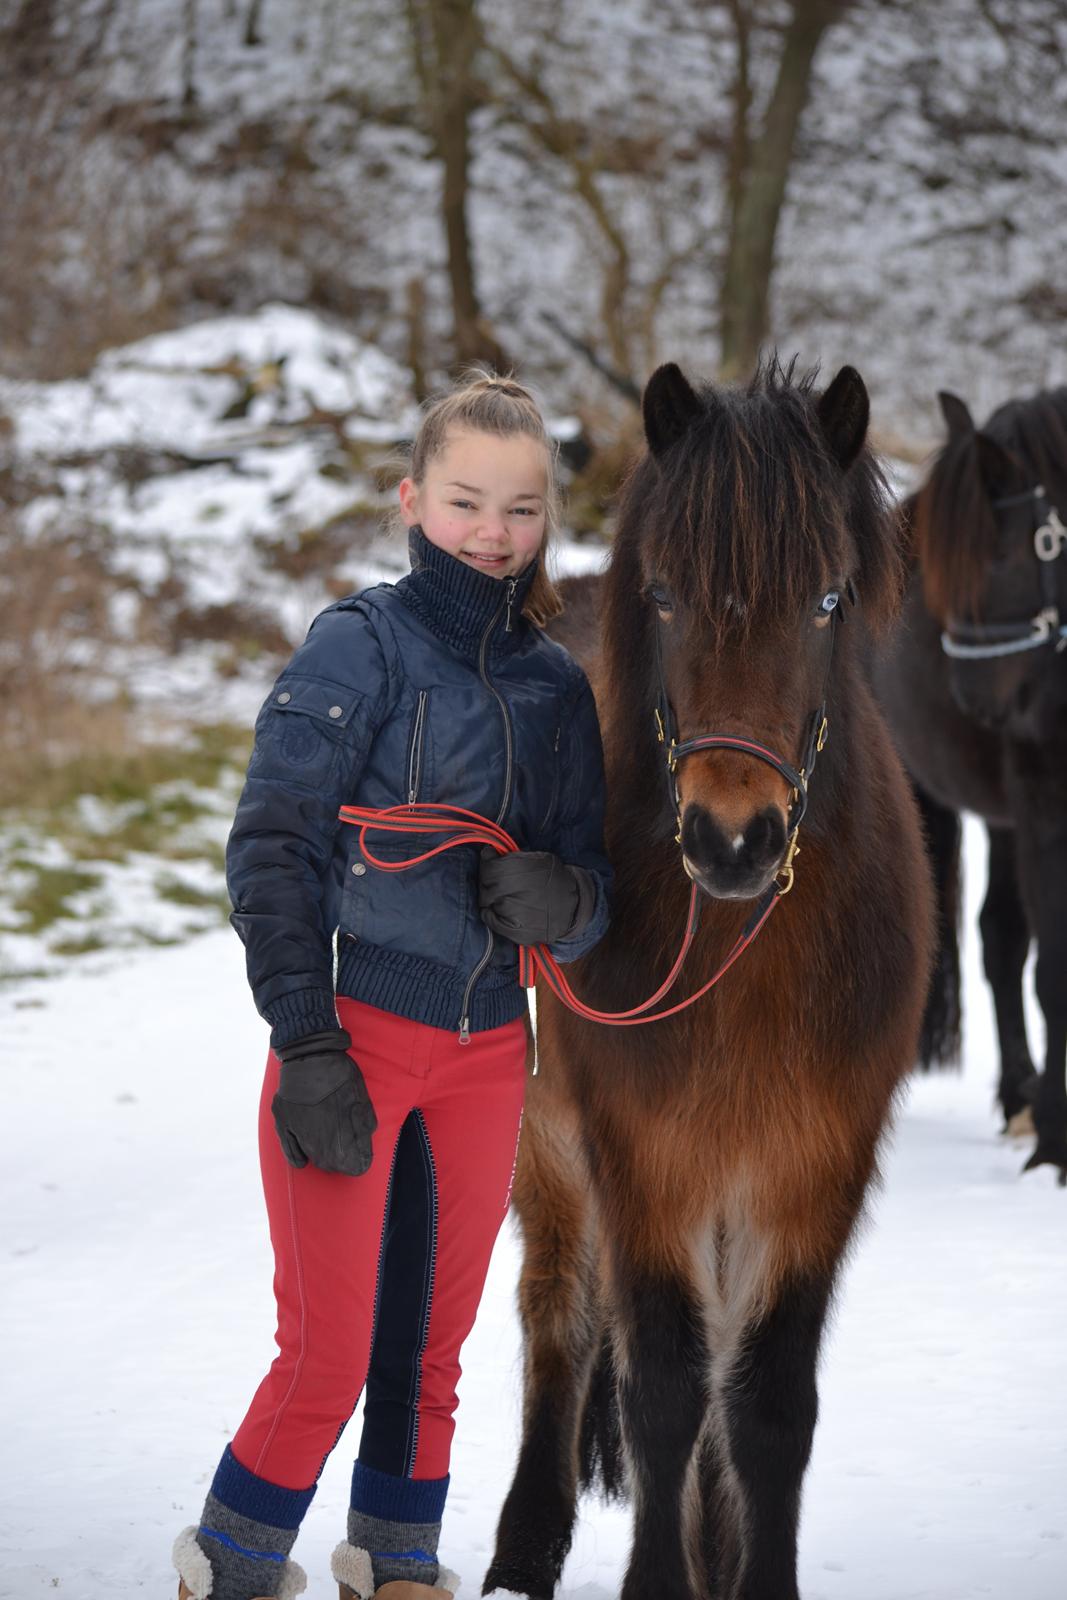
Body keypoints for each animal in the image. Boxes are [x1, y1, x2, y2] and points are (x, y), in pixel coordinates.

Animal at [483, 360, 934, 1600]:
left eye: (827, 600)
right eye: (668, 596)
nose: (732, 838)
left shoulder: (810, 1169)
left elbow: (765, 1402)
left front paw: (748, 1573)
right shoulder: (644, 1162)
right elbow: (663, 1391)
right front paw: (658, 1580)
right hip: (548, 1140)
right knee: (557, 1316)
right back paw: (524, 1543)